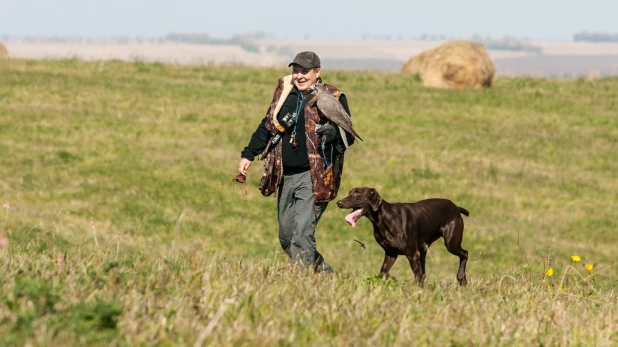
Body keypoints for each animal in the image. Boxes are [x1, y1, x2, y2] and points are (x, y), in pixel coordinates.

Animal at [334, 188, 470, 286]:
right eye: (349, 192)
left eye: (357, 194)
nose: (338, 203)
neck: (383, 218)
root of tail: (456, 207)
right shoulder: (391, 253)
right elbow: (383, 272)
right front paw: (393, 279)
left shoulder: (412, 254)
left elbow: (417, 275)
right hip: (424, 249)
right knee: (423, 273)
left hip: (451, 243)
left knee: (465, 254)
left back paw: (461, 278)